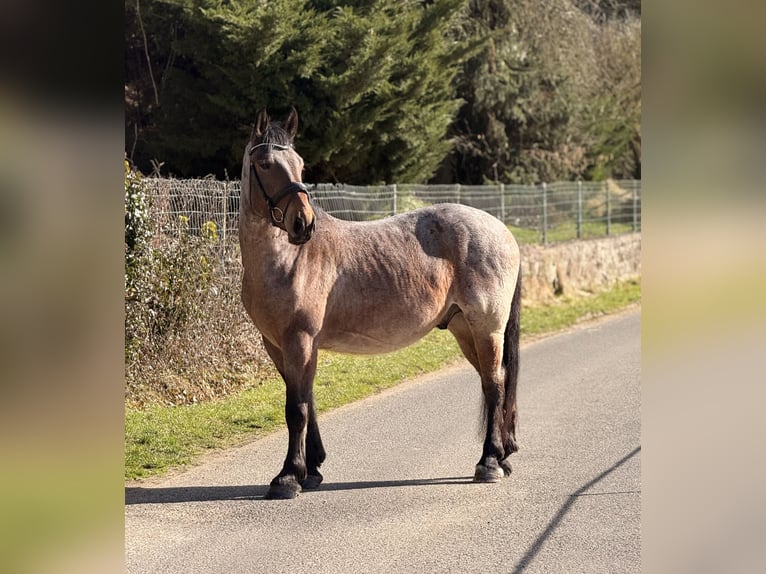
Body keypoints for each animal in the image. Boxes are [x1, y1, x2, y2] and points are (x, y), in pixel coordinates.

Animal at [239, 109, 522, 499]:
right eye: (265, 164)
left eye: (300, 164)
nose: (303, 224)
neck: (289, 259)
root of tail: (502, 230)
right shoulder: (279, 345)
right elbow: (307, 401)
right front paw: (312, 469)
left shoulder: (299, 340)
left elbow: (296, 409)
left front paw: (287, 477)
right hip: (465, 329)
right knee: (493, 382)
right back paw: (503, 456)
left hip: (487, 327)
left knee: (495, 386)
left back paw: (490, 462)